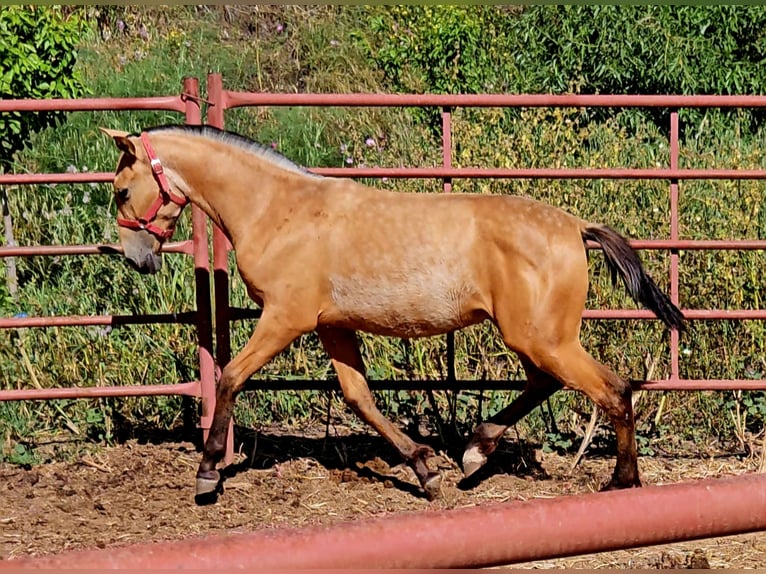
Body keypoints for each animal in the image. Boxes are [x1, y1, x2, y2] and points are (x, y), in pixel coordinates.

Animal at [101, 124, 685, 503]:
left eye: (122, 190)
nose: (137, 259)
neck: (277, 210)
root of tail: (576, 228)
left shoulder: (284, 319)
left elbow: (229, 377)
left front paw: (206, 475)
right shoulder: (333, 326)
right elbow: (359, 397)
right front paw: (425, 470)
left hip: (542, 337)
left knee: (613, 388)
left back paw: (622, 481)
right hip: (534, 338)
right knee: (548, 383)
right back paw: (475, 453)